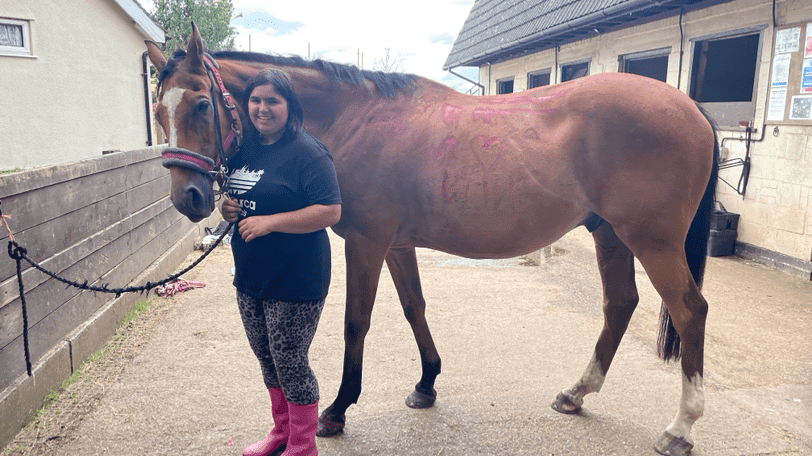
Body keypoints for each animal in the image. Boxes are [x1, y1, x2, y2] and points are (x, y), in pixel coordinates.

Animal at [145, 23, 718, 456]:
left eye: (201, 104)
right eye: (157, 111)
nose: (189, 198)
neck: (355, 119)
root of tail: (690, 107)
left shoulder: (367, 242)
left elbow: (356, 322)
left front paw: (337, 410)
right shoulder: (397, 246)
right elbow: (413, 307)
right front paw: (426, 385)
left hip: (652, 241)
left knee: (690, 310)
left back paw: (680, 428)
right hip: (610, 235)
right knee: (620, 304)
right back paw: (576, 393)